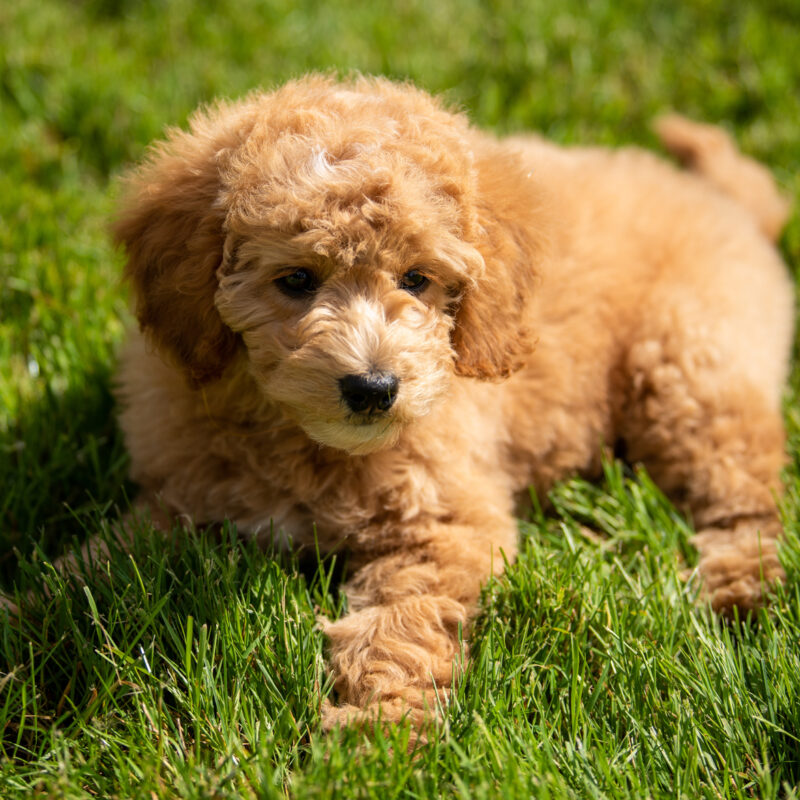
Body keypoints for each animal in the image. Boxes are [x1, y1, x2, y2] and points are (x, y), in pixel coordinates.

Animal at [112, 73, 792, 732]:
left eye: (417, 279)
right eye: (296, 280)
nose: (373, 387)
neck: (311, 447)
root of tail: (725, 204)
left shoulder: (444, 525)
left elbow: (399, 627)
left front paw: (377, 730)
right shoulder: (176, 494)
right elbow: (114, 558)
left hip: (691, 364)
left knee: (746, 484)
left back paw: (741, 589)